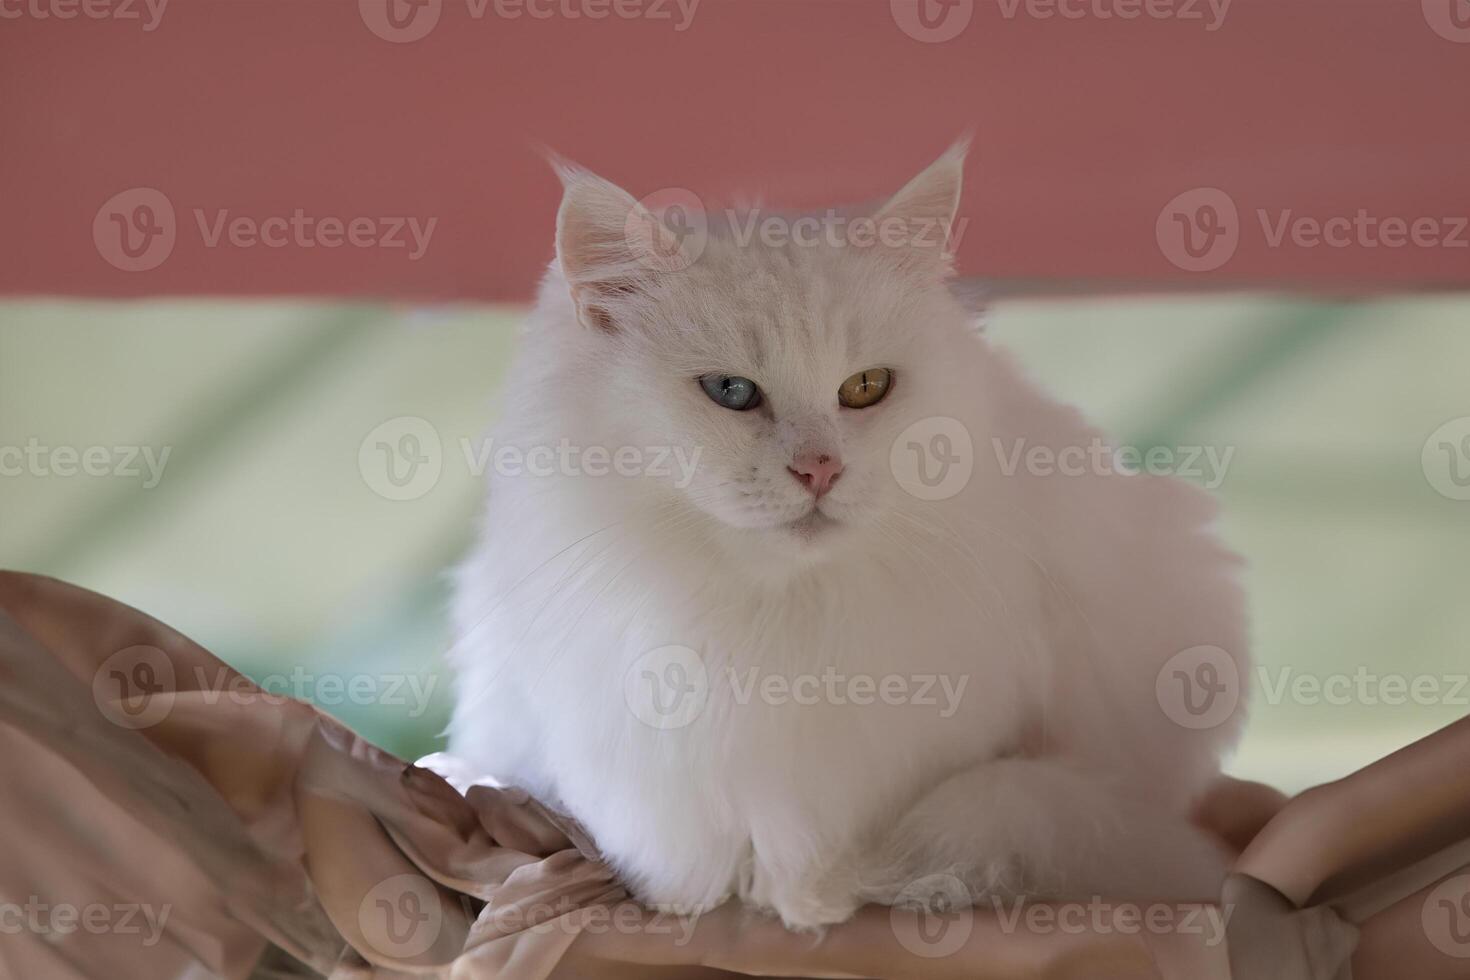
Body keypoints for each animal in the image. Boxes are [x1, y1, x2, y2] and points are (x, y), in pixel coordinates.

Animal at [443, 143, 1240, 928]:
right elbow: (677, 846)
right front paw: (684, 902)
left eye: (865, 388)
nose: (819, 469)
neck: (774, 611)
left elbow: (827, 845)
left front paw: (810, 902)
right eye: (731, 391)